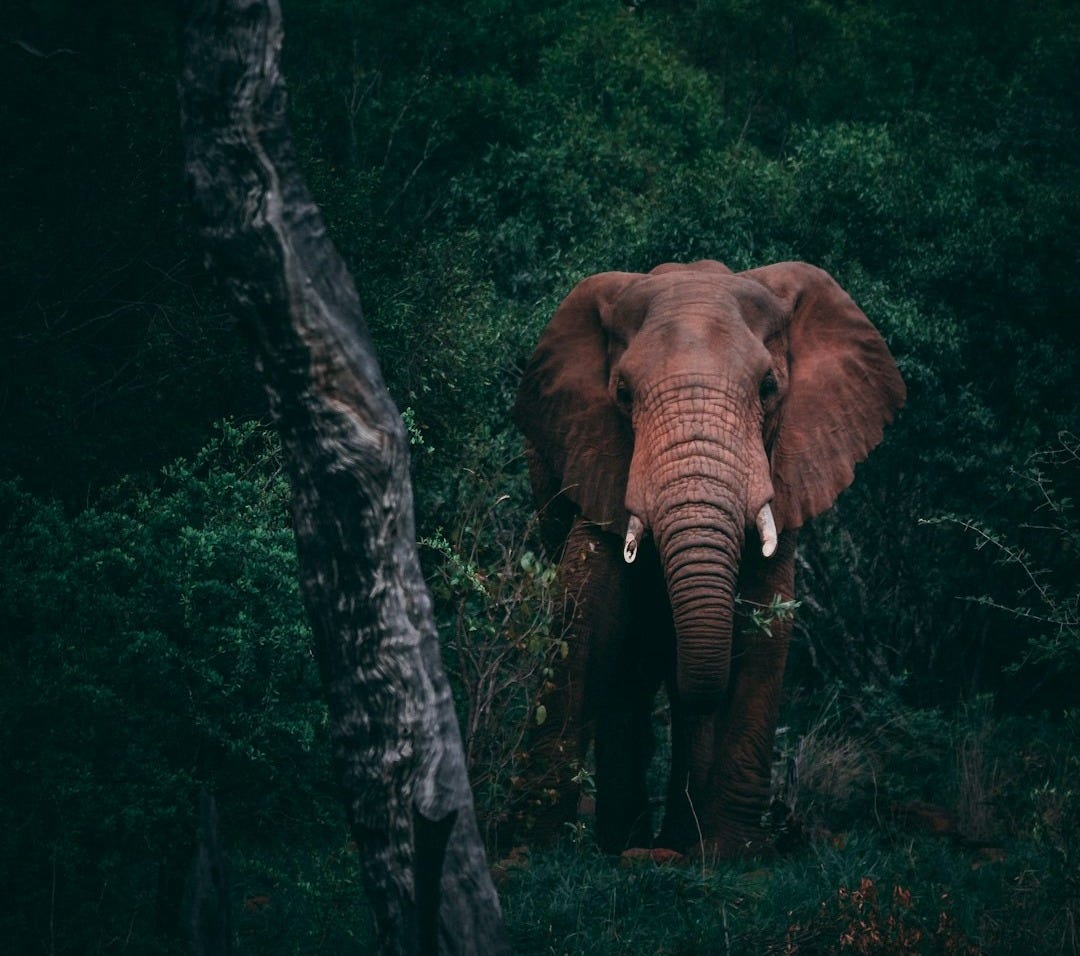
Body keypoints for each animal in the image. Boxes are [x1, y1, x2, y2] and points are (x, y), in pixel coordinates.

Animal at [510, 259, 905, 859]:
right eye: (622, 393)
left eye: (768, 388)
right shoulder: (594, 454)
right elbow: (587, 617)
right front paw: (534, 845)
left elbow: (767, 623)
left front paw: (732, 854)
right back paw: (626, 840)